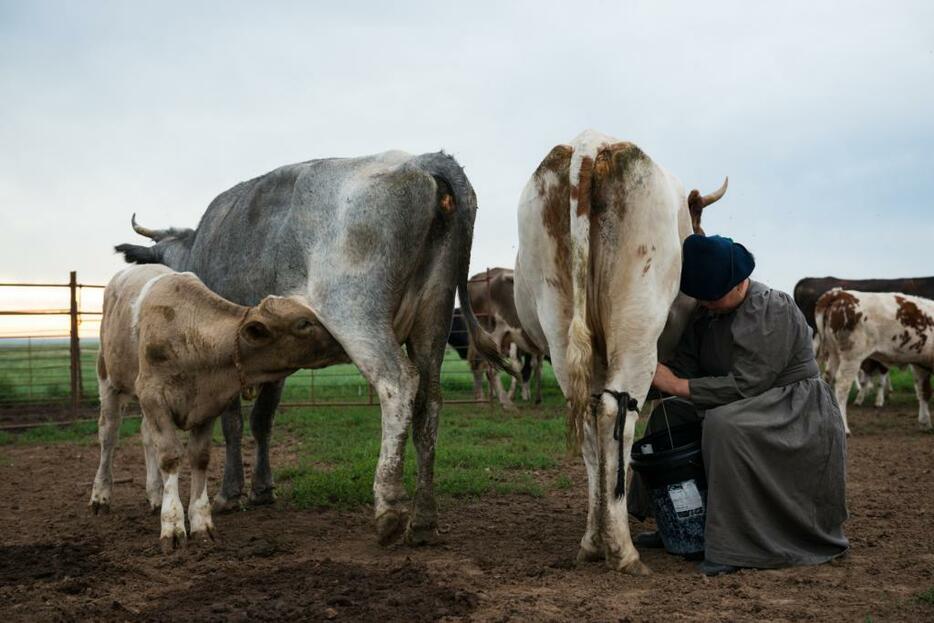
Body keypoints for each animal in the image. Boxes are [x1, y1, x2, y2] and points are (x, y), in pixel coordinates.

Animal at [88, 264, 340, 552]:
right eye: (303, 323)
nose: (342, 341)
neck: (189, 334)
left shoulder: (206, 404)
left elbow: (200, 457)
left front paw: (200, 522)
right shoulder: (153, 396)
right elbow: (170, 456)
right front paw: (172, 524)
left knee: (146, 436)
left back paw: (155, 494)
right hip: (108, 379)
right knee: (108, 436)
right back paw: (101, 496)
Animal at [516, 132, 728, 576]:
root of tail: (589, 145)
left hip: (558, 320)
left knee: (589, 415)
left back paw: (593, 542)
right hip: (637, 319)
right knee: (618, 415)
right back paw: (622, 550)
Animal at [816, 288, 932, 432]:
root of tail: (839, 293)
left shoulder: (921, 363)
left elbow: (924, 391)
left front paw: (925, 422)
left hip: (834, 354)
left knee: (826, 380)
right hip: (852, 356)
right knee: (842, 387)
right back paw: (845, 428)